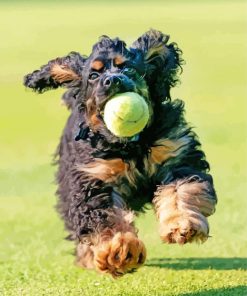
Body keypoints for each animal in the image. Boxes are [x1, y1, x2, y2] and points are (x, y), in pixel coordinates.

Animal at [23, 28, 216, 276]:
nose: (113, 79)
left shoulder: (177, 155)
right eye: (93, 75)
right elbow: (104, 217)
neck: (130, 145)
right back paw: (88, 256)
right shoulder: (93, 179)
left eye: (129, 68)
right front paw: (121, 250)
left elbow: (181, 190)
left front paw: (182, 224)